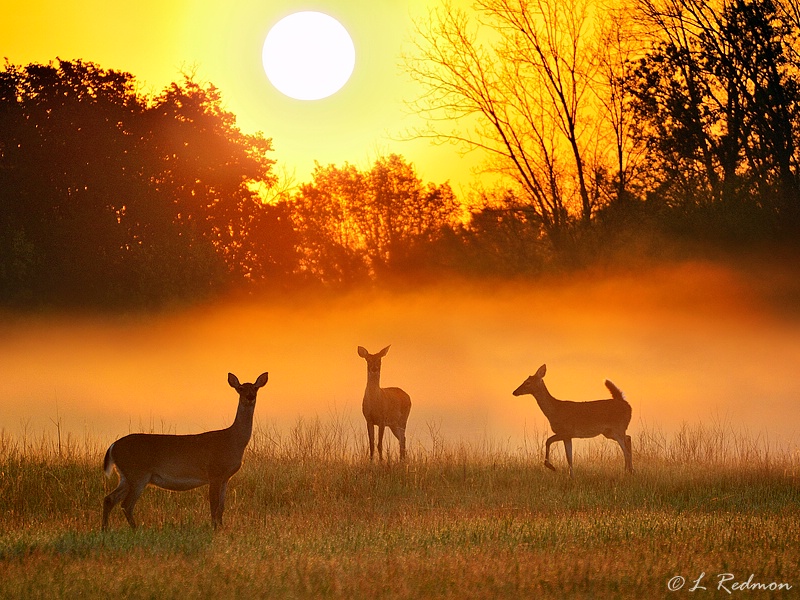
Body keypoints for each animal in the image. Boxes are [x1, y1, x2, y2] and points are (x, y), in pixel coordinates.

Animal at [100, 370, 268, 528]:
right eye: (240, 388)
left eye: (255, 388)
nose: (250, 397)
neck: (233, 440)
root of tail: (113, 446)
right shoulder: (214, 473)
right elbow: (214, 506)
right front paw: (214, 529)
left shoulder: (225, 477)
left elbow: (221, 507)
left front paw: (221, 528)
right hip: (138, 474)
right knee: (126, 504)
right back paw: (135, 529)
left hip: (125, 475)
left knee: (109, 499)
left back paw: (105, 529)